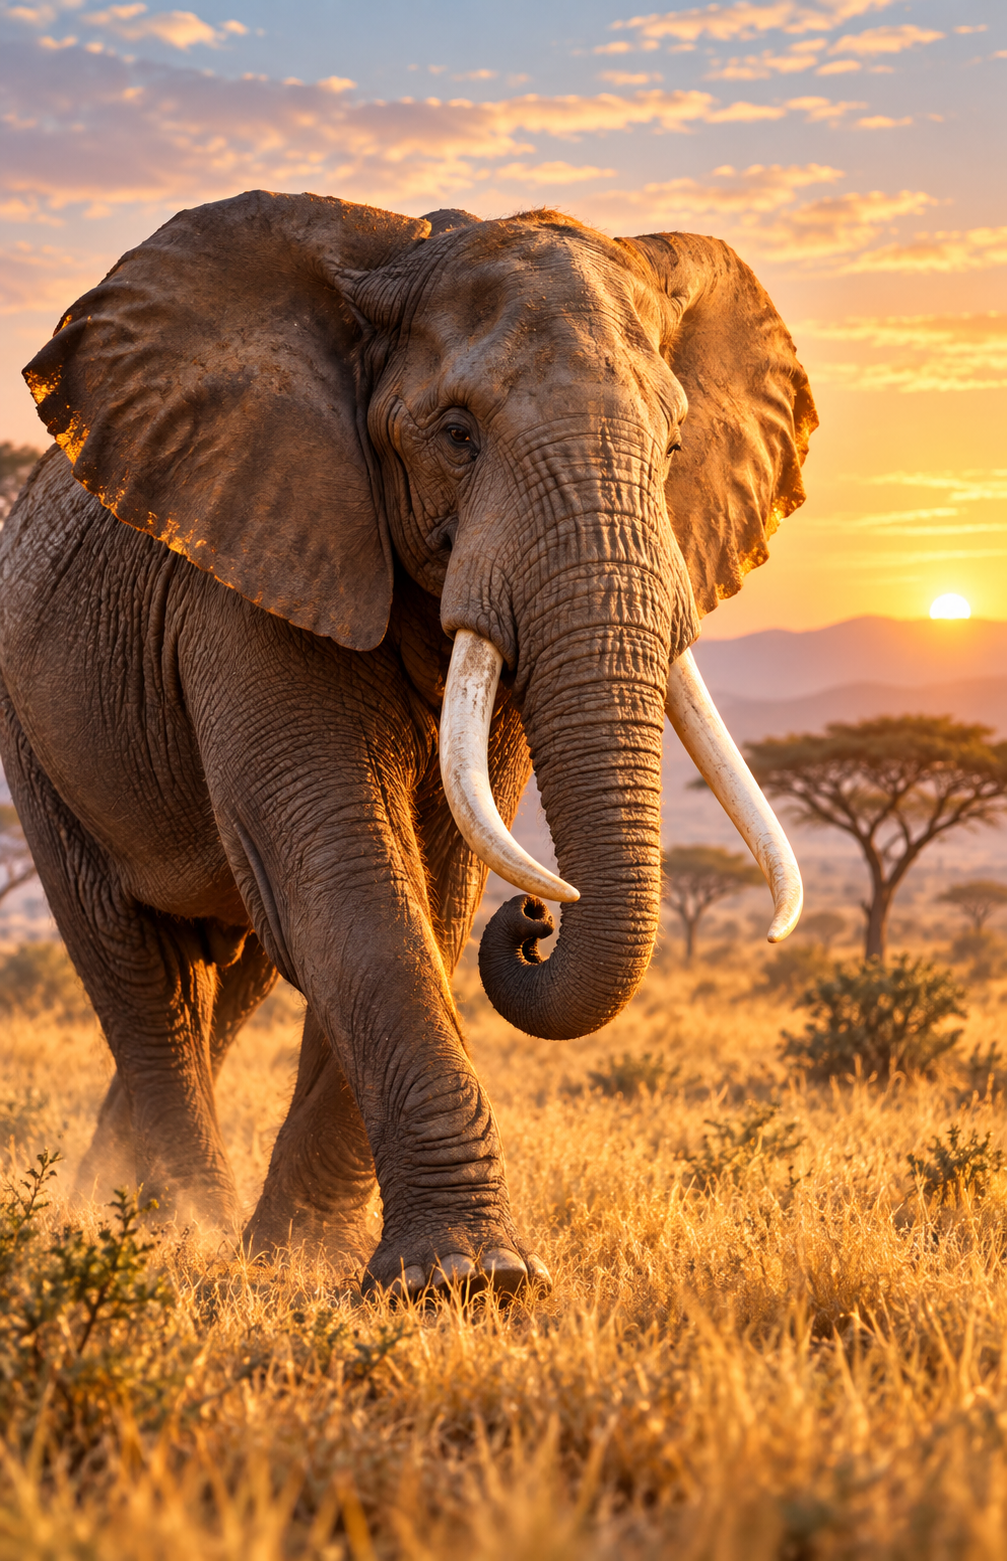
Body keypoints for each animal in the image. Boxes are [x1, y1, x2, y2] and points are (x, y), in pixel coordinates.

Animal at [0, 193, 816, 1296]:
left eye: (674, 442)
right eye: (456, 435)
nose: (536, 917)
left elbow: (432, 883)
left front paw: (315, 1256)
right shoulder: (256, 553)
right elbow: (341, 868)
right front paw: (470, 1279)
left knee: (227, 974)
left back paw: (119, 1205)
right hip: (34, 727)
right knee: (138, 966)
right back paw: (169, 1231)